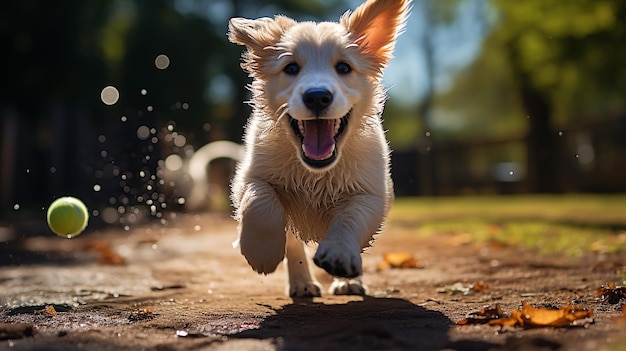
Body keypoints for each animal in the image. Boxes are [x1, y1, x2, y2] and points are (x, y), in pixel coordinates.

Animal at [227, 0, 408, 296]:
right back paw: (302, 284)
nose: (317, 96)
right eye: (291, 68)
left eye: (344, 67)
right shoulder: (250, 174)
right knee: (292, 243)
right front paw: (262, 252)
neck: (315, 171)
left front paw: (339, 256)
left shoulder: (372, 193)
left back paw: (348, 282)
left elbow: (350, 218)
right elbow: (259, 203)